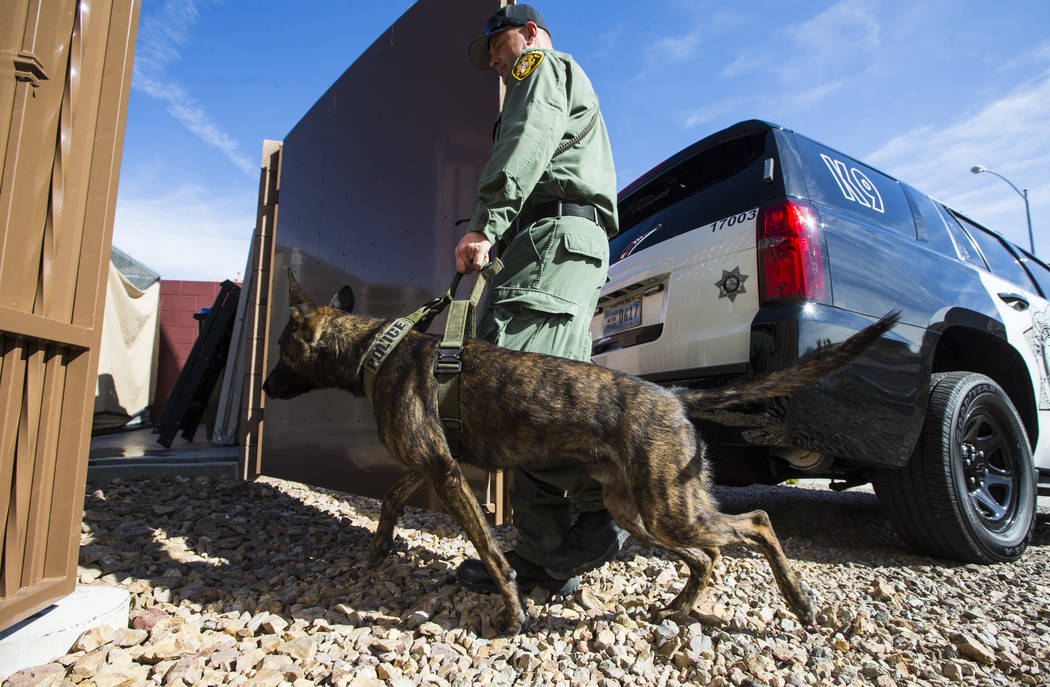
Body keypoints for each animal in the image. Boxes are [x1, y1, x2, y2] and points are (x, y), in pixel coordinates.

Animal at [262, 271, 894, 638]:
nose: (264, 387)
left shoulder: (443, 471)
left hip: (668, 507)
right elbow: (392, 498)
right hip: (638, 509)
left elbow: (491, 552)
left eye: (283, 350)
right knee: (707, 556)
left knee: (757, 522)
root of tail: (674, 396)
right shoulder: (430, 466)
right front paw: (378, 548)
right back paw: (677, 608)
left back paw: (800, 604)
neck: (378, 351)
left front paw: (513, 614)